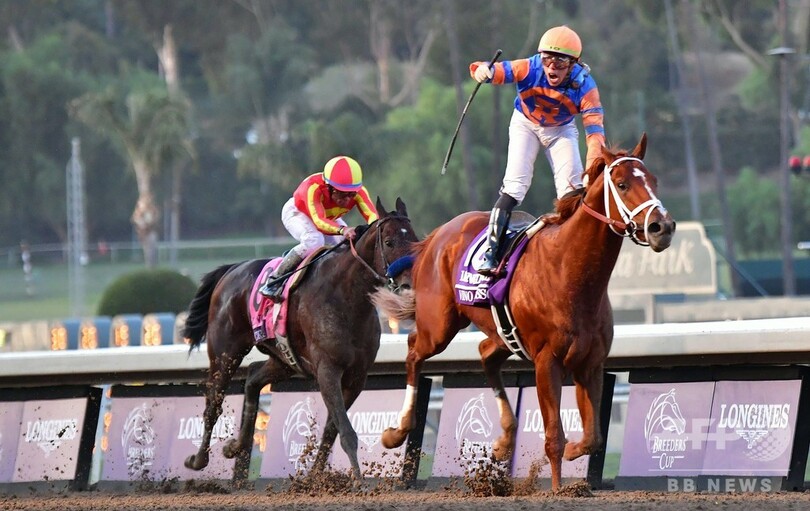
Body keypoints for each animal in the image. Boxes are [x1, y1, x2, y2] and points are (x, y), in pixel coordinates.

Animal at [182, 197, 418, 479]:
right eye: (389, 242)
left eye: (415, 239)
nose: (409, 285)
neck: (346, 297)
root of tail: (232, 269)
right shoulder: (328, 370)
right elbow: (346, 432)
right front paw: (357, 480)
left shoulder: (356, 376)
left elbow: (332, 430)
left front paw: (315, 477)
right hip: (225, 353)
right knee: (213, 403)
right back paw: (198, 459)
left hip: (284, 360)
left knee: (253, 378)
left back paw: (236, 446)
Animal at [373, 134, 675, 490]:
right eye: (623, 183)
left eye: (654, 181)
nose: (662, 227)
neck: (570, 273)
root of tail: (437, 236)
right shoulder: (547, 361)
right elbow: (553, 437)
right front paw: (558, 489)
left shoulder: (590, 362)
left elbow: (593, 437)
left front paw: (573, 454)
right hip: (439, 326)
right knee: (413, 351)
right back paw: (398, 431)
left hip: (500, 333)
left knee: (485, 353)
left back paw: (504, 440)